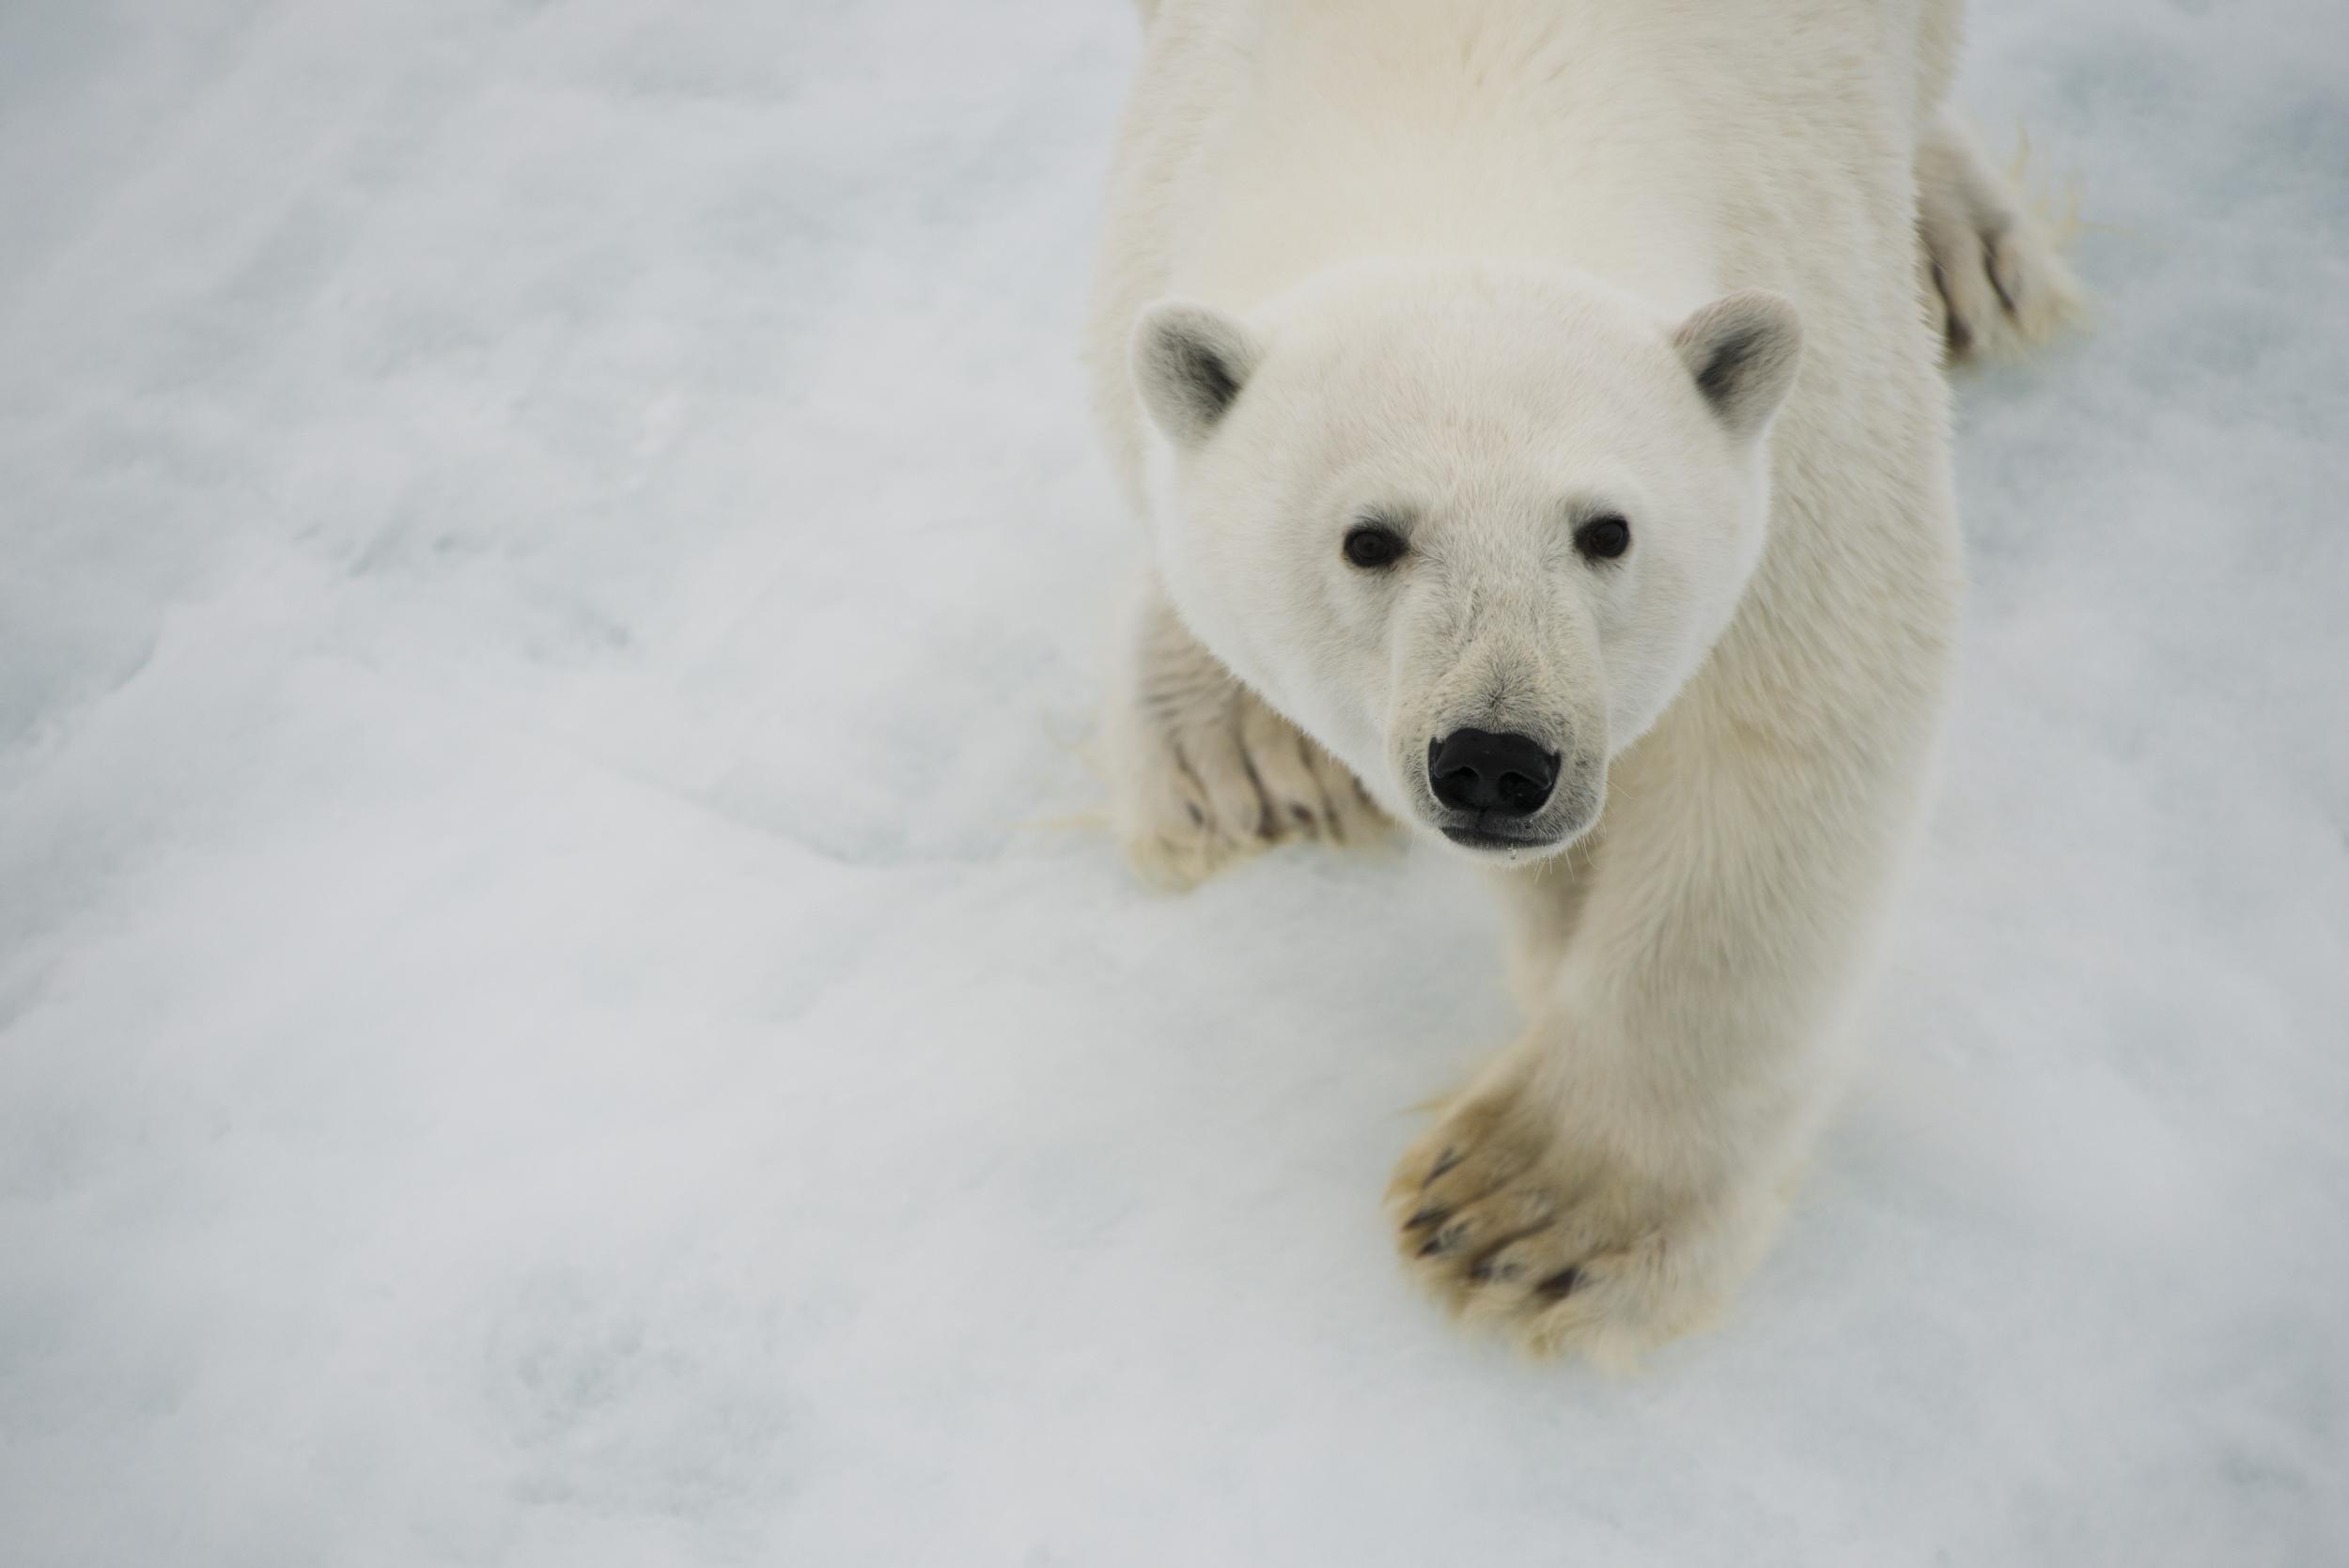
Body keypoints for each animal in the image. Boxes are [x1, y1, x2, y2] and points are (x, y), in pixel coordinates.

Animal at [1087, 0, 2076, 1364]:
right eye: (1368, 538)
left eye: (1605, 530)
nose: (1498, 760)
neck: (1455, 72)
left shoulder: (1809, 365)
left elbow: (1789, 724)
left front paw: (1528, 1218)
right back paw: (1234, 760)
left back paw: (1966, 249)